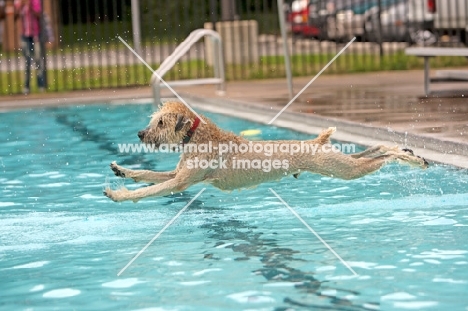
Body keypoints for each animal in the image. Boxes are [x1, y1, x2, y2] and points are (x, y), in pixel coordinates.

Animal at [103, 101, 428, 204]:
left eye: (160, 122)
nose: (140, 134)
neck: (198, 136)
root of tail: (316, 142)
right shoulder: (179, 172)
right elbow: (149, 174)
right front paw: (123, 171)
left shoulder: (183, 181)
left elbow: (151, 190)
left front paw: (119, 195)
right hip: (340, 162)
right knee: (373, 151)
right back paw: (404, 149)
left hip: (344, 170)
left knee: (382, 157)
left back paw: (414, 158)